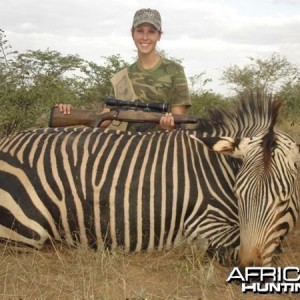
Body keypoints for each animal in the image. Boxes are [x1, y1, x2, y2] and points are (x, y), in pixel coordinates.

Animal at [0, 94, 298, 268]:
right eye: (238, 194)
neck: (220, 168)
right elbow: (235, 248)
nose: (250, 266)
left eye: (284, 200)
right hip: (26, 232)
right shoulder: (205, 223)